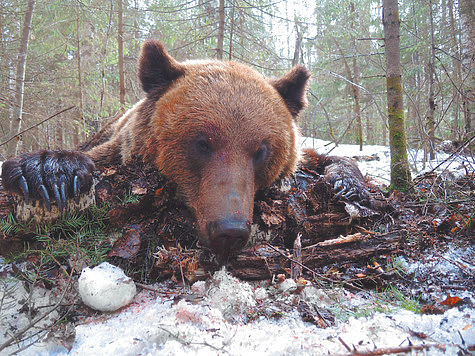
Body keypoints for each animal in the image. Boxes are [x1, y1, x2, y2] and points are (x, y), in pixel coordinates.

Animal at [0, 39, 372, 258]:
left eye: (261, 150)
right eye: (202, 142)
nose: (229, 230)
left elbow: (322, 158)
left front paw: (349, 184)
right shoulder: (118, 146)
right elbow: (84, 158)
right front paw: (48, 170)